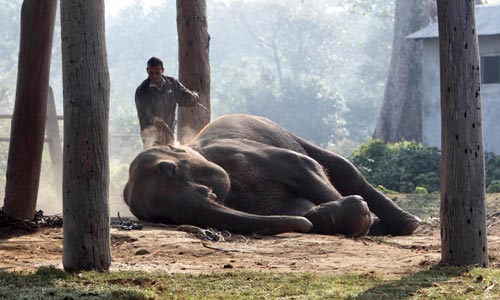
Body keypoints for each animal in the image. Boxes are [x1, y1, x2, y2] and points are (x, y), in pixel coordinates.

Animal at [123, 113, 420, 236]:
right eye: (160, 218)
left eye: (170, 169)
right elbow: (295, 208)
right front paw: (318, 215)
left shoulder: (240, 151)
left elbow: (304, 166)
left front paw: (357, 216)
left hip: (288, 134)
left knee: (343, 169)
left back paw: (408, 224)